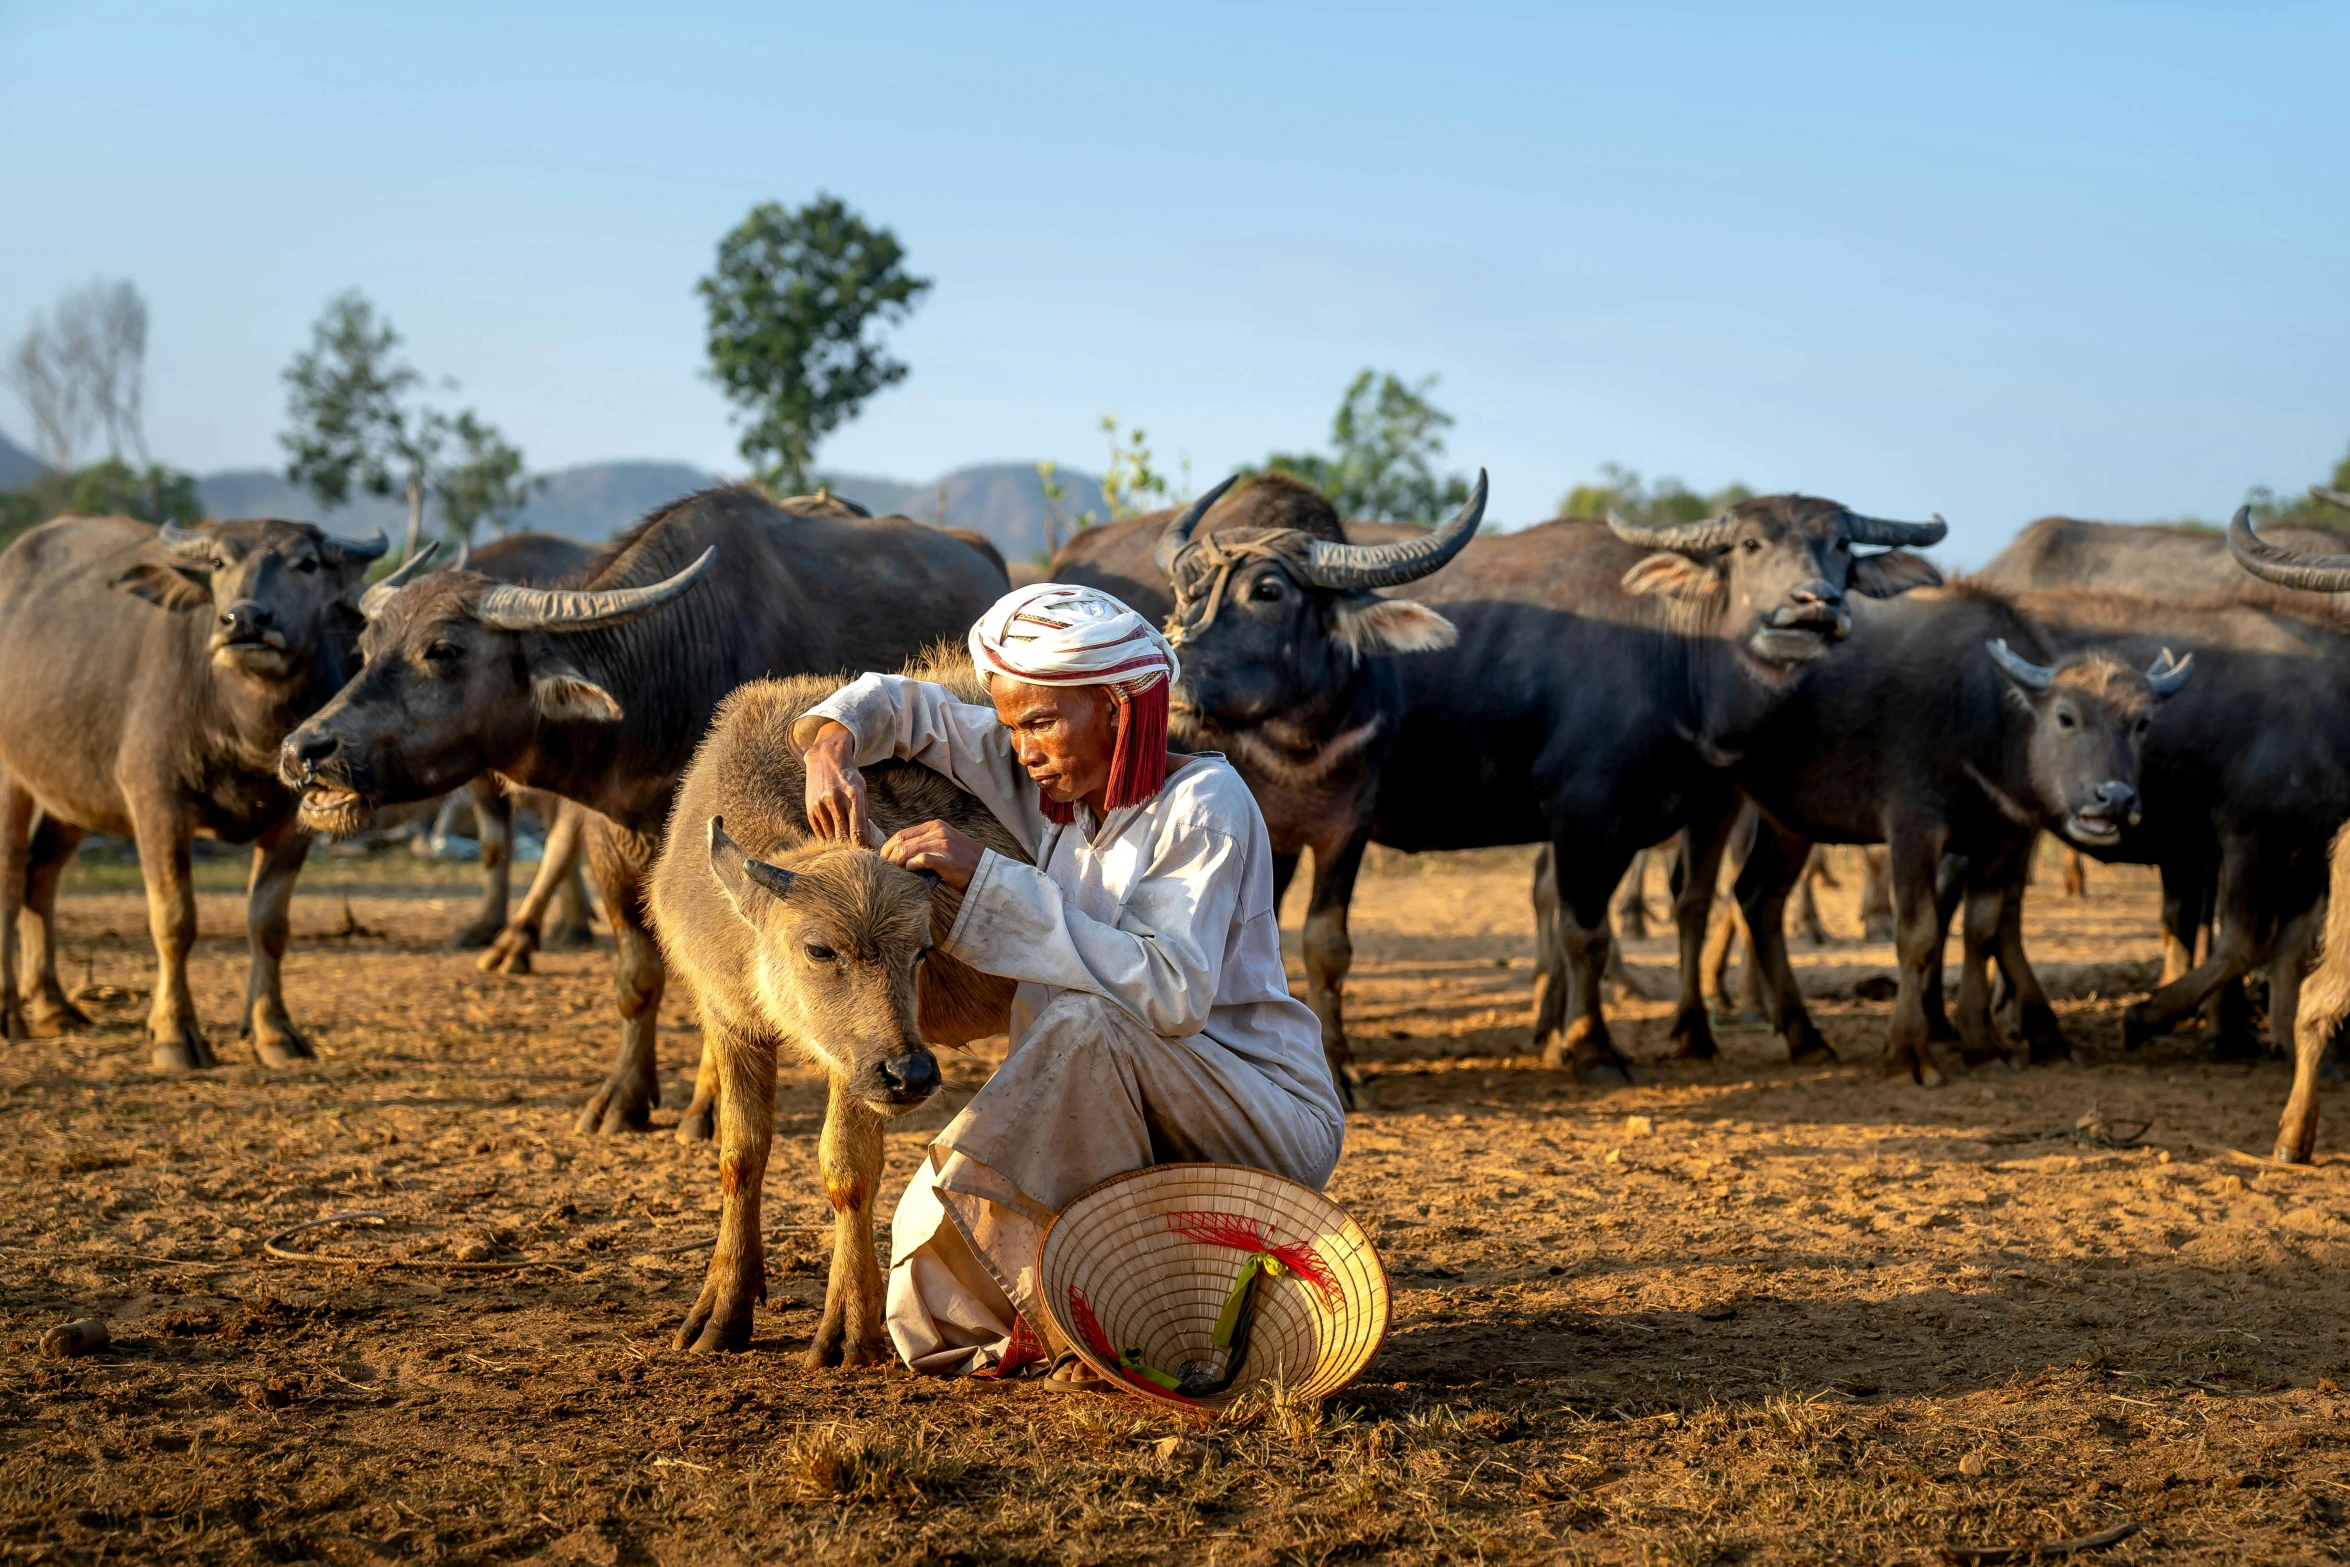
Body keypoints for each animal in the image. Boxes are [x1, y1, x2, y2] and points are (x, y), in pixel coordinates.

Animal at [0, 514, 390, 1066]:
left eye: (308, 563)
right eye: (220, 561)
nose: (244, 618)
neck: (243, 727)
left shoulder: (295, 820)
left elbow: (269, 924)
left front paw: (274, 1031)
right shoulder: (156, 802)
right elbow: (174, 920)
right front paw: (173, 1034)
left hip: (70, 795)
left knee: (41, 873)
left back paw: (54, 1006)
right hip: (10, 776)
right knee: (10, 875)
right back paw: (9, 1012)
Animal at [277, 483, 1010, 1132]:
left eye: (444, 650)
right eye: (367, 648)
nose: (305, 747)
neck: (665, 679)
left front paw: (706, 1108)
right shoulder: (614, 842)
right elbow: (637, 975)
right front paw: (622, 1098)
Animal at [648, 657, 1024, 1362]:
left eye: (922, 950)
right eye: (819, 948)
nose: (912, 1075)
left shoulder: (852, 1068)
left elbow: (847, 1171)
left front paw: (850, 1328)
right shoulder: (728, 1023)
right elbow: (739, 1156)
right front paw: (721, 1310)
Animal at [1720, 582, 2190, 1085]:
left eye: (2141, 723)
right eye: (2066, 717)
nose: (2115, 799)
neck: (1981, 718)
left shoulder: (2002, 839)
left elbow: (1981, 931)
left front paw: (1981, 1046)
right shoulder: (1914, 829)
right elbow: (1918, 934)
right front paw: (1907, 1052)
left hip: (1789, 823)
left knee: (1759, 897)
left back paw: (1805, 1037)